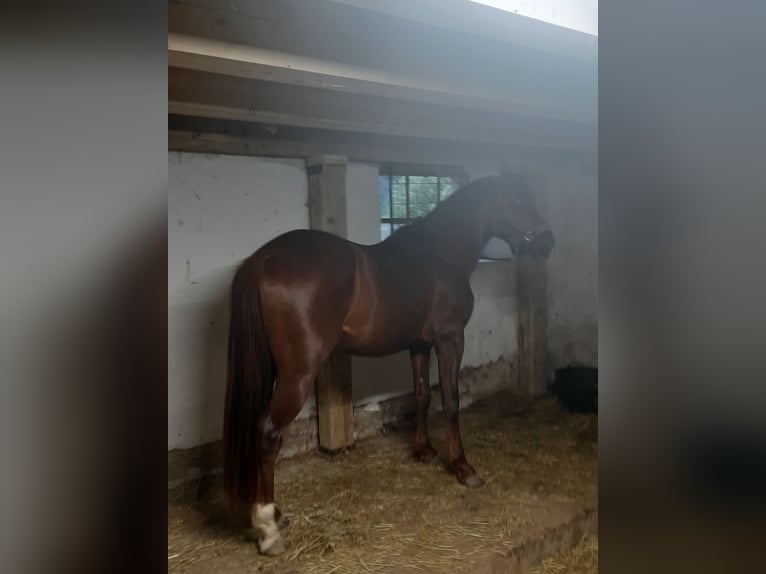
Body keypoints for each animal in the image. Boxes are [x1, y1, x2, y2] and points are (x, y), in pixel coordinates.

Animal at [225, 173, 556, 556]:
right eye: (518, 201)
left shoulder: (419, 345)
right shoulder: (449, 340)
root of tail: (262, 259)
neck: (441, 252)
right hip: (298, 373)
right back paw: (267, 527)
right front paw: (463, 467)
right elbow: (451, 400)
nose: (547, 242)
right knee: (268, 431)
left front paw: (424, 451)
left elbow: (422, 395)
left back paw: (274, 514)